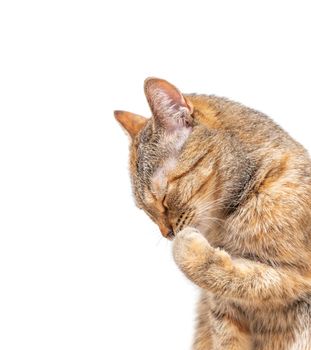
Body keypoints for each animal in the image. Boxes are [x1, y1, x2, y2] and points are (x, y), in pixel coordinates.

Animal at [114, 78, 311, 348]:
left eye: (163, 197)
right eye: (146, 211)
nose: (167, 234)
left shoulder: (300, 275)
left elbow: (252, 280)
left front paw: (187, 249)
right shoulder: (223, 313)